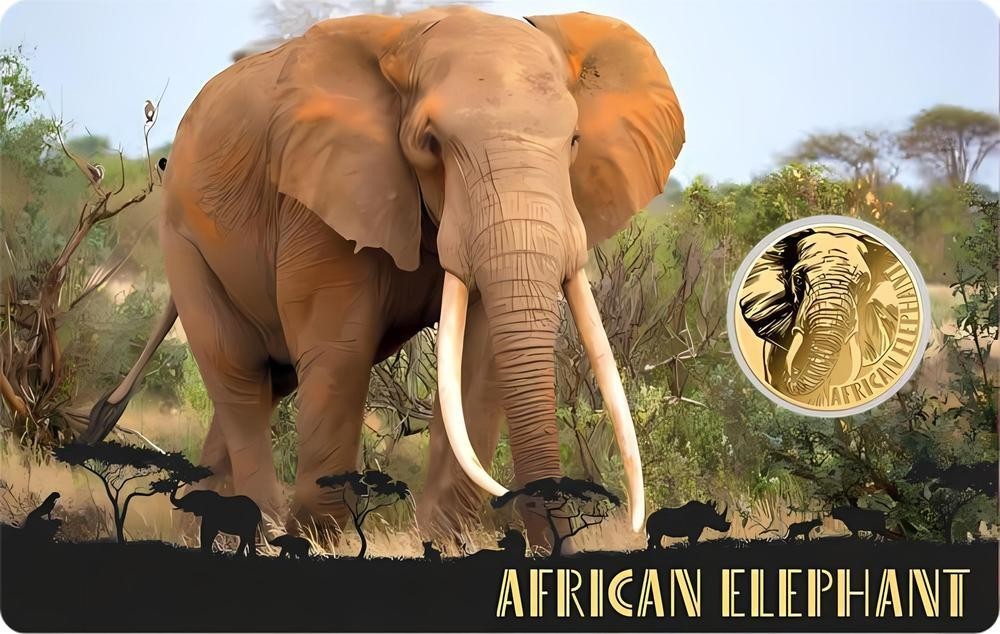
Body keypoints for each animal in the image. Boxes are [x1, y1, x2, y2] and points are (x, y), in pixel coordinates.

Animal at [82, 7, 684, 548]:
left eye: (575, 141)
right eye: (430, 144)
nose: (554, 544)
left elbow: (481, 358)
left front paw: (445, 541)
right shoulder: (323, 194)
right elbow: (340, 349)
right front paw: (319, 540)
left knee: (271, 379)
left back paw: (201, 530)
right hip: (184, 240)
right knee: (238, 373)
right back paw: (266, 531)